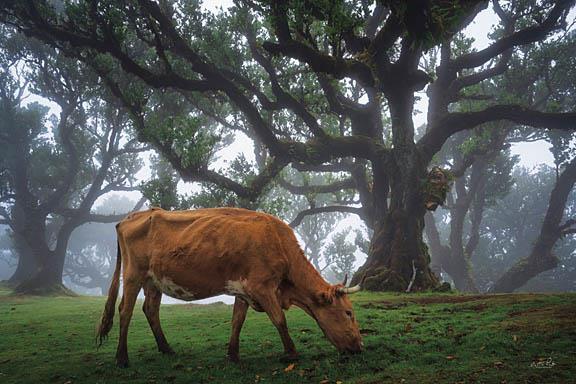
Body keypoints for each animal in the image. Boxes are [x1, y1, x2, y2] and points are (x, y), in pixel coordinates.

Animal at [96, 207, 362, 366]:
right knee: (125, 311)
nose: (359, 346)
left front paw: (233, 355)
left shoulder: (243, 290)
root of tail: (132, 216)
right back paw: (122, 358)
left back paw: (166, 348)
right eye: (349, 312)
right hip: (133, 275)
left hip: (154, 281)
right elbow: (279, 320)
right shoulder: (261, 287)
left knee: (150, 310)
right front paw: (292, 352)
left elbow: (237, 321)